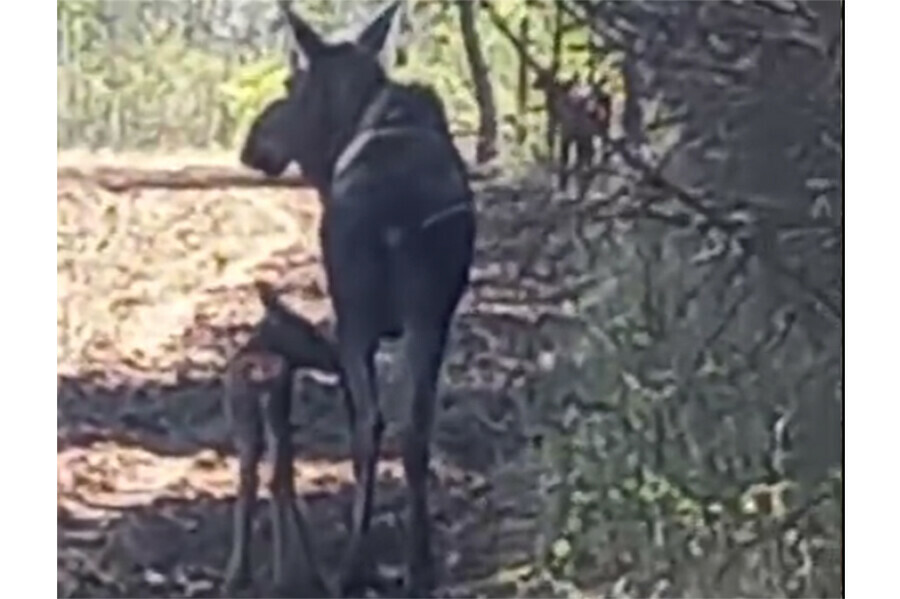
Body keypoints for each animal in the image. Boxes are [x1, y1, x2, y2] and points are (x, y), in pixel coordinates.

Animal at [239, 2, 478, 596]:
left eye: (291, 82)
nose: (252, 143)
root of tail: (394, 218)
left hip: (357, 320)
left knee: (369, 427)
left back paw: (353, 565)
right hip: (428, 316)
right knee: (414, 427)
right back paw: (419, 564)